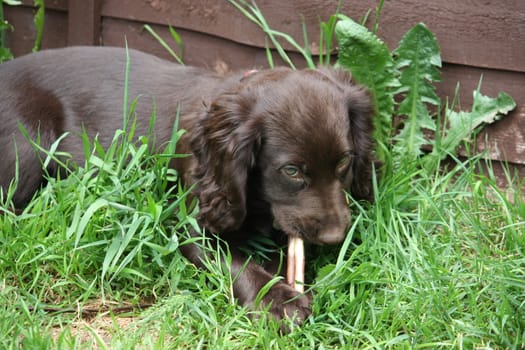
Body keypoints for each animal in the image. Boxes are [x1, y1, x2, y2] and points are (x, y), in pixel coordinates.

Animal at [0, 46, 376, 326]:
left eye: (343, 163)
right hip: (28, 146)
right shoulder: (192, 223)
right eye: (292, 171)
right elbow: (233, 261)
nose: (335, 237)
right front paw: (277, 300)